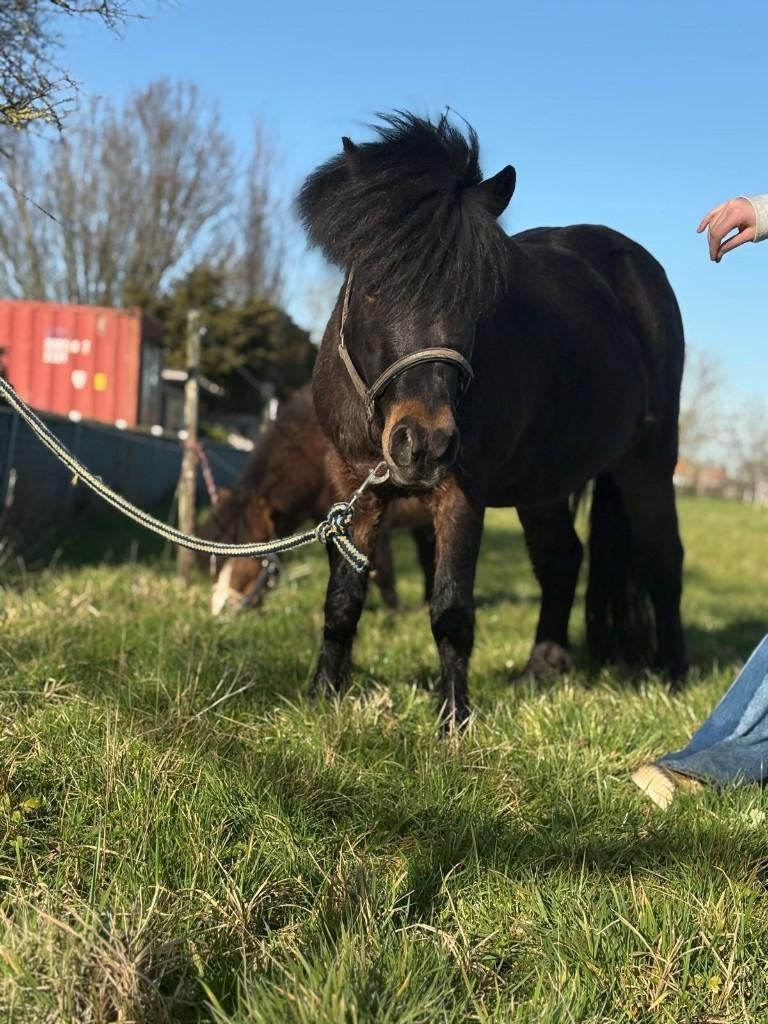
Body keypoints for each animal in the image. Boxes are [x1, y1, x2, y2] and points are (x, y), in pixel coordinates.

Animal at [299, 111, 687, 729]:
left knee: (663, 562)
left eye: (475, 296)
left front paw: (455, 721)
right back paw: (541, 668)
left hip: (648, 462)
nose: (423, 444)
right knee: (563, 559)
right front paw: (322, 698)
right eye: (375, 284)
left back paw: (673, 677)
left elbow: (451, 610)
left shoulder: (463, 490)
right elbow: (343, 599)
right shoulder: (351, 485)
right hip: (544, 482)